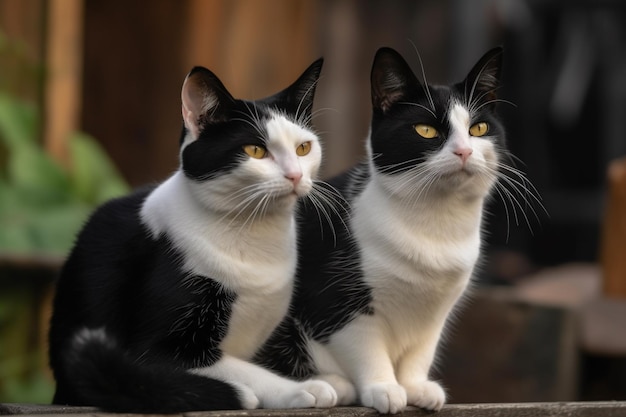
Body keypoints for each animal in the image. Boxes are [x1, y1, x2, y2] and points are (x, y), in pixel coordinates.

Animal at [48, 57, 342, 412]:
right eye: (256, 151)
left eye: (303, 148)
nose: (296, 175)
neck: (255, 234)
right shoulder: (154, 353)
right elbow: (243, 369)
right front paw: (303, 388)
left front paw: (331, 378)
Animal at [254, 46, 532, 412]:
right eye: (426, 130)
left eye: (479, 128)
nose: (464, 150)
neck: (436, 222)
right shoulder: (340, 303)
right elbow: (367, 348)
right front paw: (384, 388)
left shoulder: (435, 315)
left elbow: (421, 352)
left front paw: (414, 387)